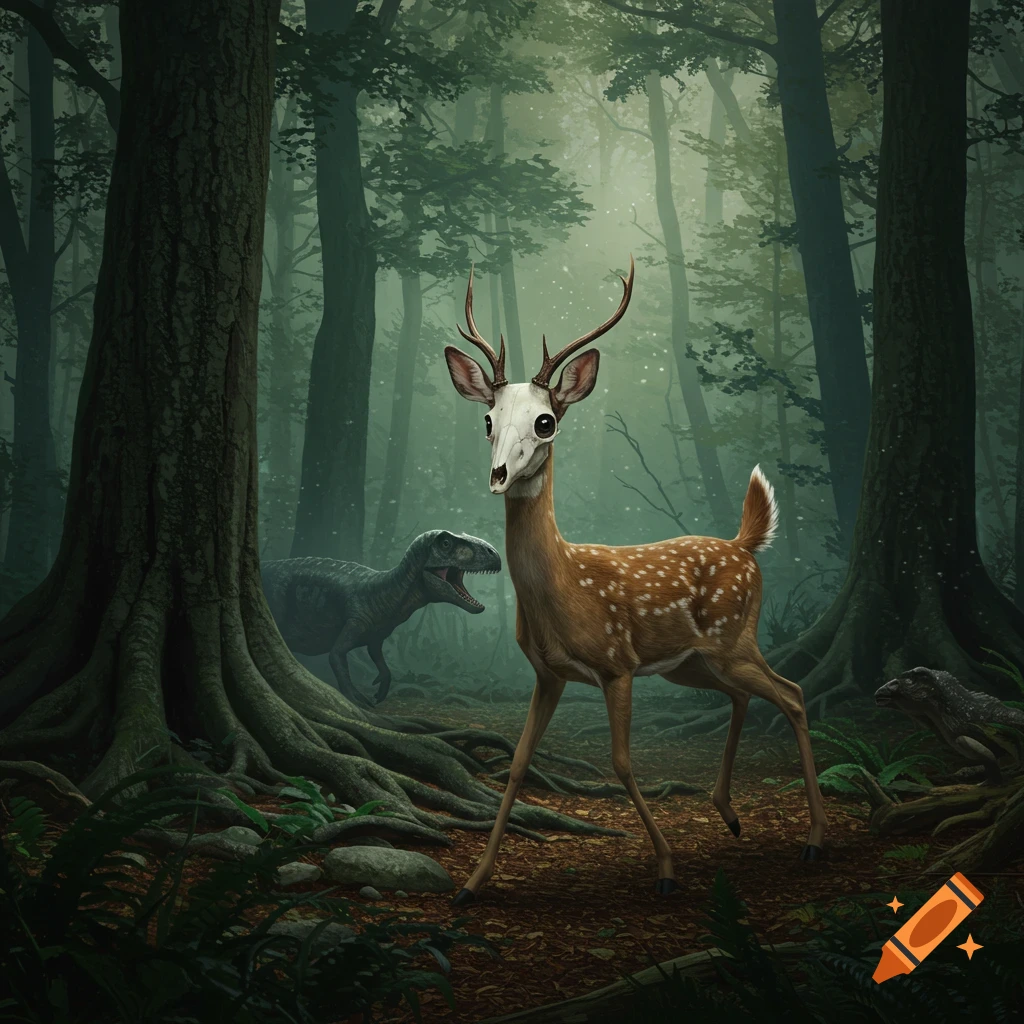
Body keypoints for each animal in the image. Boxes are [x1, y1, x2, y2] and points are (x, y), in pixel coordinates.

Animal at [442, 255, 827, 907]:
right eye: (487, 419)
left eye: (545, 421)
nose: (497, 475)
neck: (564, 589)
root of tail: (744, 547)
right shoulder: (548, 672)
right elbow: (517, 762)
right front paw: (473, 882)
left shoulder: (615, 663)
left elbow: (621, 761)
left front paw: (667, 868)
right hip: (691, 662)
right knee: (746, 695)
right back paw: (728, 813)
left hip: (732, 636)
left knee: (794, 693)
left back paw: (815, 839)